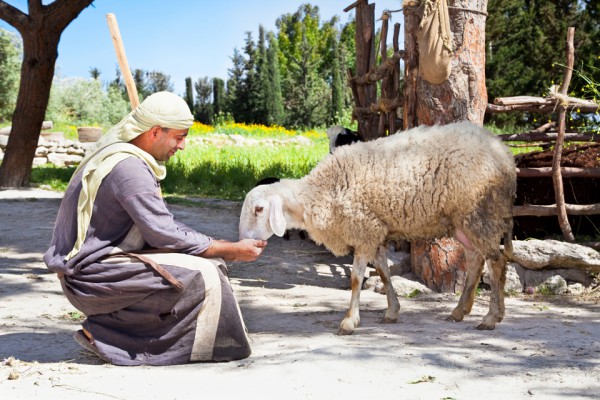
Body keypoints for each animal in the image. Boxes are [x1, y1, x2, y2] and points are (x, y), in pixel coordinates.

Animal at [239, 121, 516, 334]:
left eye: (259, 209)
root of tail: (504, 152)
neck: (319, 193)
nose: (245, 241)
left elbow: (355, 278)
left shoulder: (364, 231)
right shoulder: (375, 232)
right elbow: (383, 272)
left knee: (496, 262)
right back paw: (460, 311)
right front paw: (391, 311)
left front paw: (349, 321)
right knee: (475, 261)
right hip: (463, 222)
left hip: (480, 213)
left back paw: (491, 317)